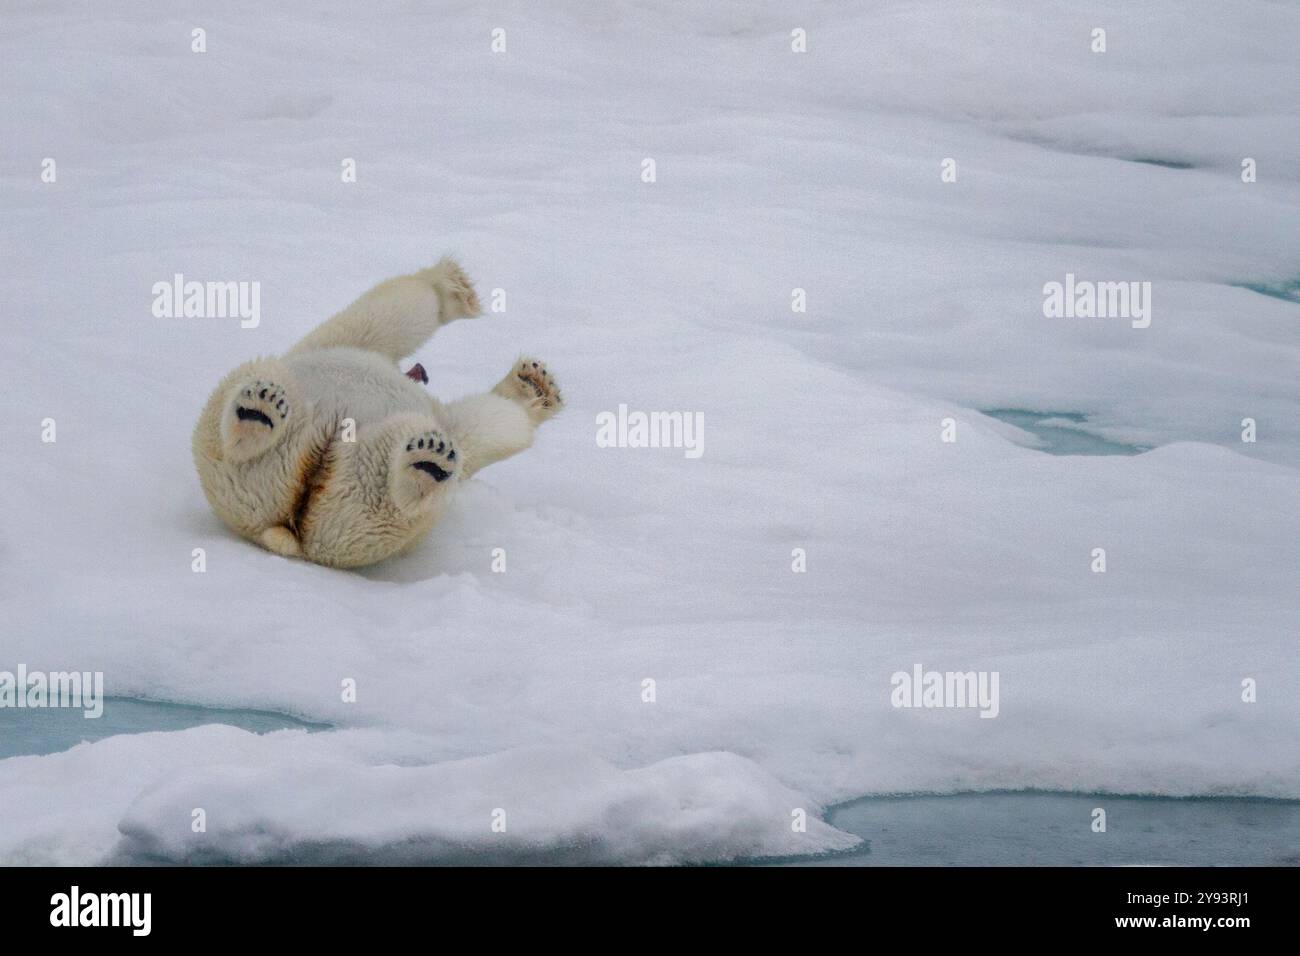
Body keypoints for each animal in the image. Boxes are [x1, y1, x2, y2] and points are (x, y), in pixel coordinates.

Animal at [191, 257, 559, 567]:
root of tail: (284, 526)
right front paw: (453, 286)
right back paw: (258, 411)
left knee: (388, 490)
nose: (422, 372)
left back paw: (425, 465)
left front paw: (534, 387)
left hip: (354, 505)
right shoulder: (349, 345)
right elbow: (395, 311)